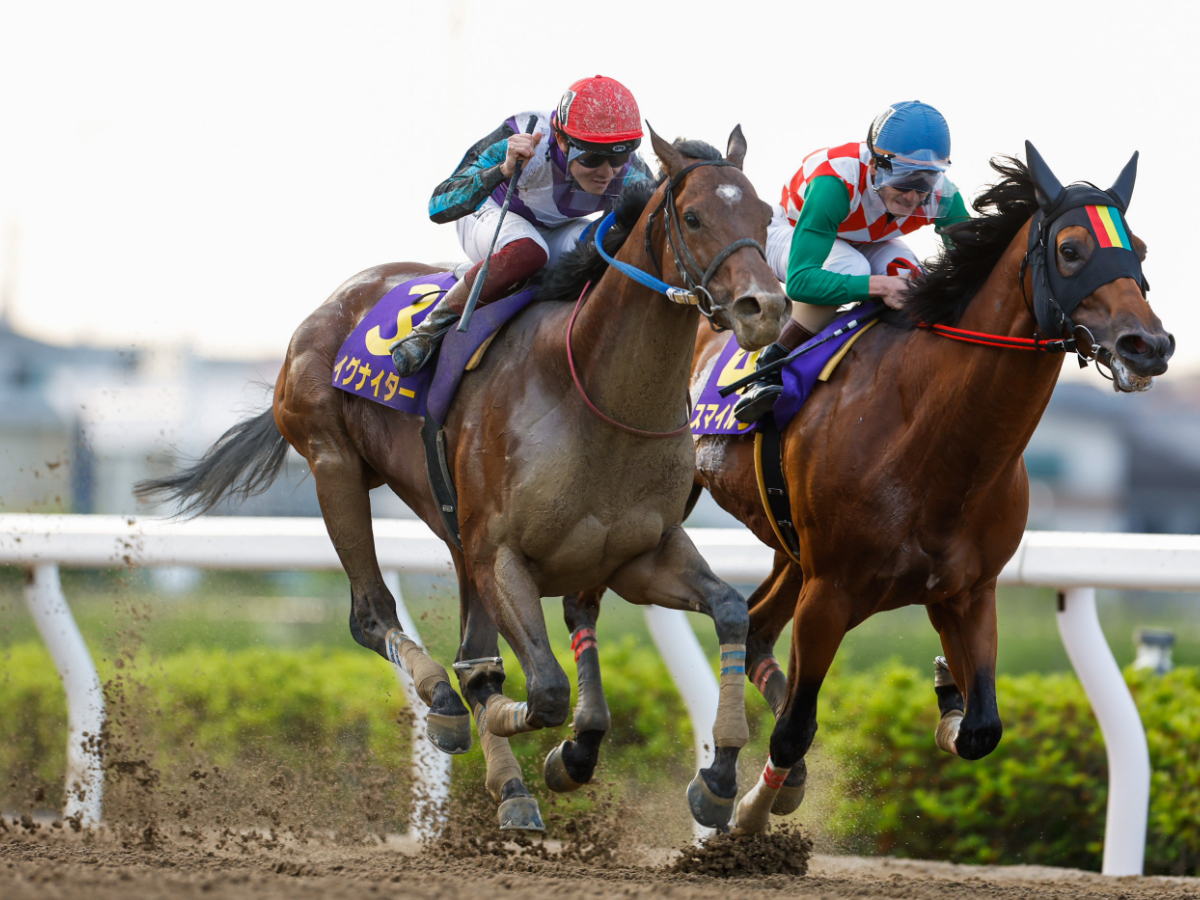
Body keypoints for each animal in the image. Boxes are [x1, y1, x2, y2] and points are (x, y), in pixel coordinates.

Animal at [136, 127, 792, 830]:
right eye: (693, 217)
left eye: (766, 216)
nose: (765, 308)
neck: (592, 392)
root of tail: (334, 302)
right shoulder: (501, 555)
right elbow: (541, 689)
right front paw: (535, 739)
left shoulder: (638, 556)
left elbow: (729, 611)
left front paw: (716, 777)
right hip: (334, 463)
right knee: (373, 616)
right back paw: (445, 706)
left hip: (450, 529)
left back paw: (511, 785)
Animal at [691, 146, 1176, 830]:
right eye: (1071, 249)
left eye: (1140, 250)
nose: (1149, 345)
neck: (935, 438)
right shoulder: (831, 591)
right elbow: (793, 731)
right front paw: (756, 811)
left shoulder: (968, 591)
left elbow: (981, 728)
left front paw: (949, 689)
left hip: (791, 547)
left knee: (756, 624)